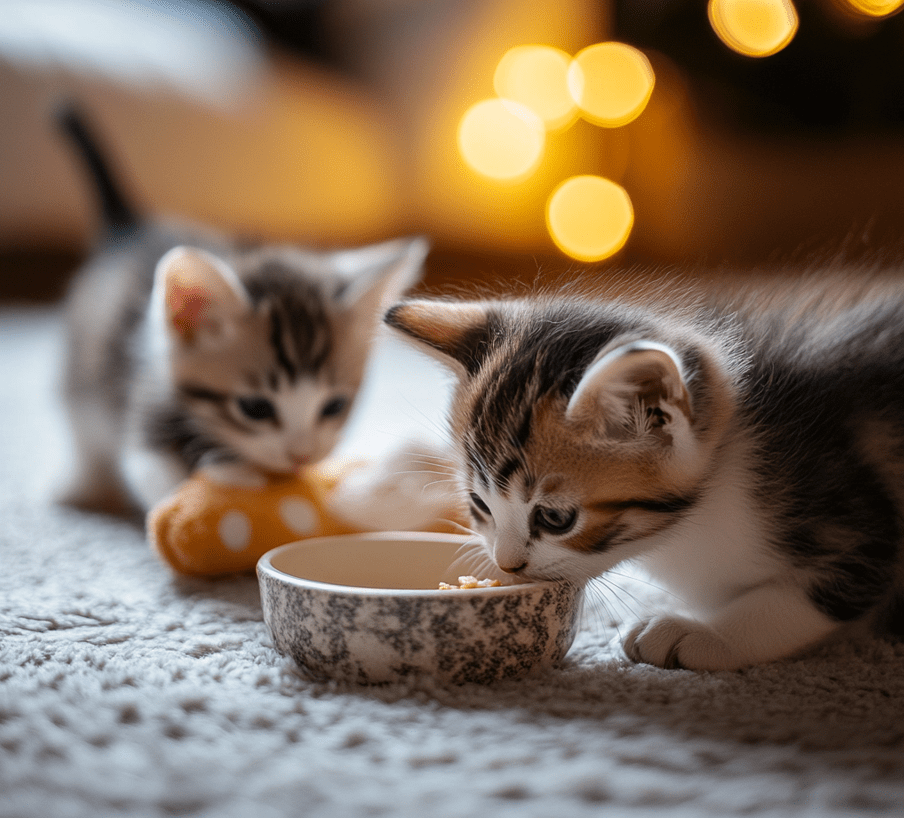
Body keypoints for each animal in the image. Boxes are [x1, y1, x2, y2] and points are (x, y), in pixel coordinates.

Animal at [56, 102, 428, 510]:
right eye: (255, 409)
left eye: (334, 406)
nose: (301, 456)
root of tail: (130, 226)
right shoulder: (149, 396)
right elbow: (155, 476)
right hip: (82, 370)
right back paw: (82, 485)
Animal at [384, 270, 904, 668]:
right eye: (479, 504)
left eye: (556, 518)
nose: (507, 564)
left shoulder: (849, 516)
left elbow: (803, 600)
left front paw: (705, 634)